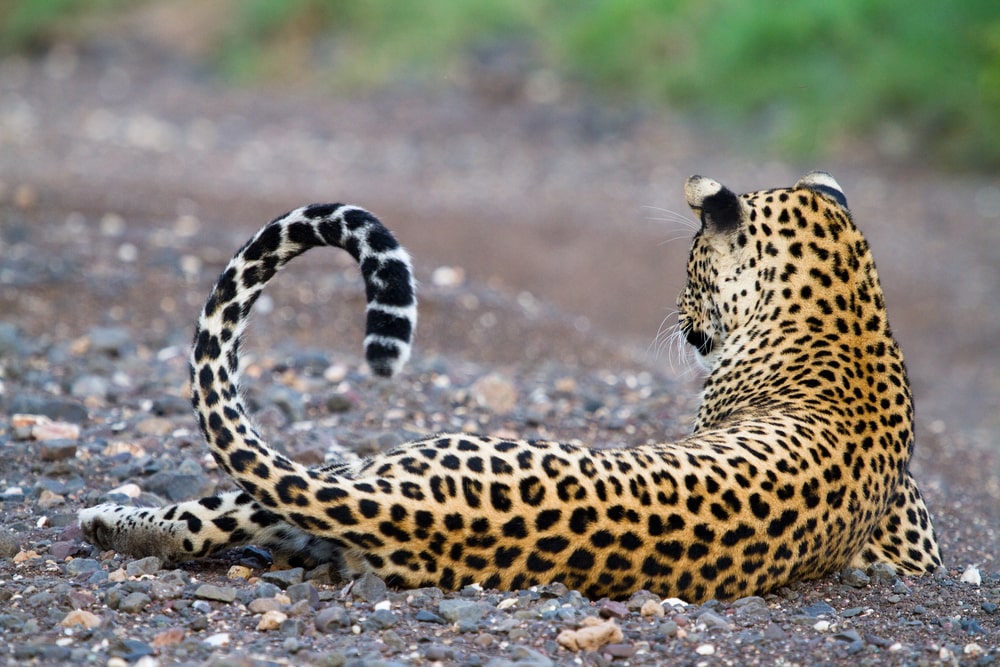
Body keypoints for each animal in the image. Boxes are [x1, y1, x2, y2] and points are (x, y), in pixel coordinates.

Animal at [79, 172, 942, 602]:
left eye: (691, 265)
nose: (680, 315)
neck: (849, 309)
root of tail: (412, 510)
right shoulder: (914, 545)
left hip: (361, 467)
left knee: (208, 517)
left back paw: (107, 519)